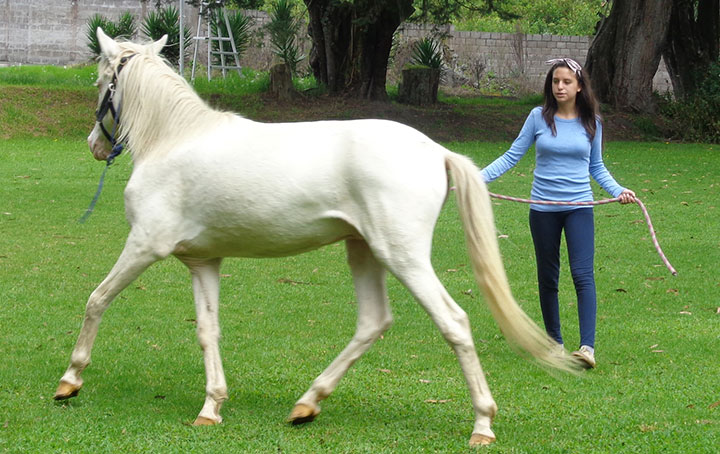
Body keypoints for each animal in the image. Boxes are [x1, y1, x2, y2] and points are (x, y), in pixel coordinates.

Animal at [54, 28, 578, 447]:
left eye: (100, 82)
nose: (94, 145)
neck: (174, 139)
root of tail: (435, 150)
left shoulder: (144, 245)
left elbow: (96, 299)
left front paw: (70, 380)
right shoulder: (203, 261)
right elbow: (207, 331)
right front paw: (211, 407)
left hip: (402, 256)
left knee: (453, 322)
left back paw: (482, 425)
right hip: (364, 251)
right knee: (373, 322)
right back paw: (307, 403)